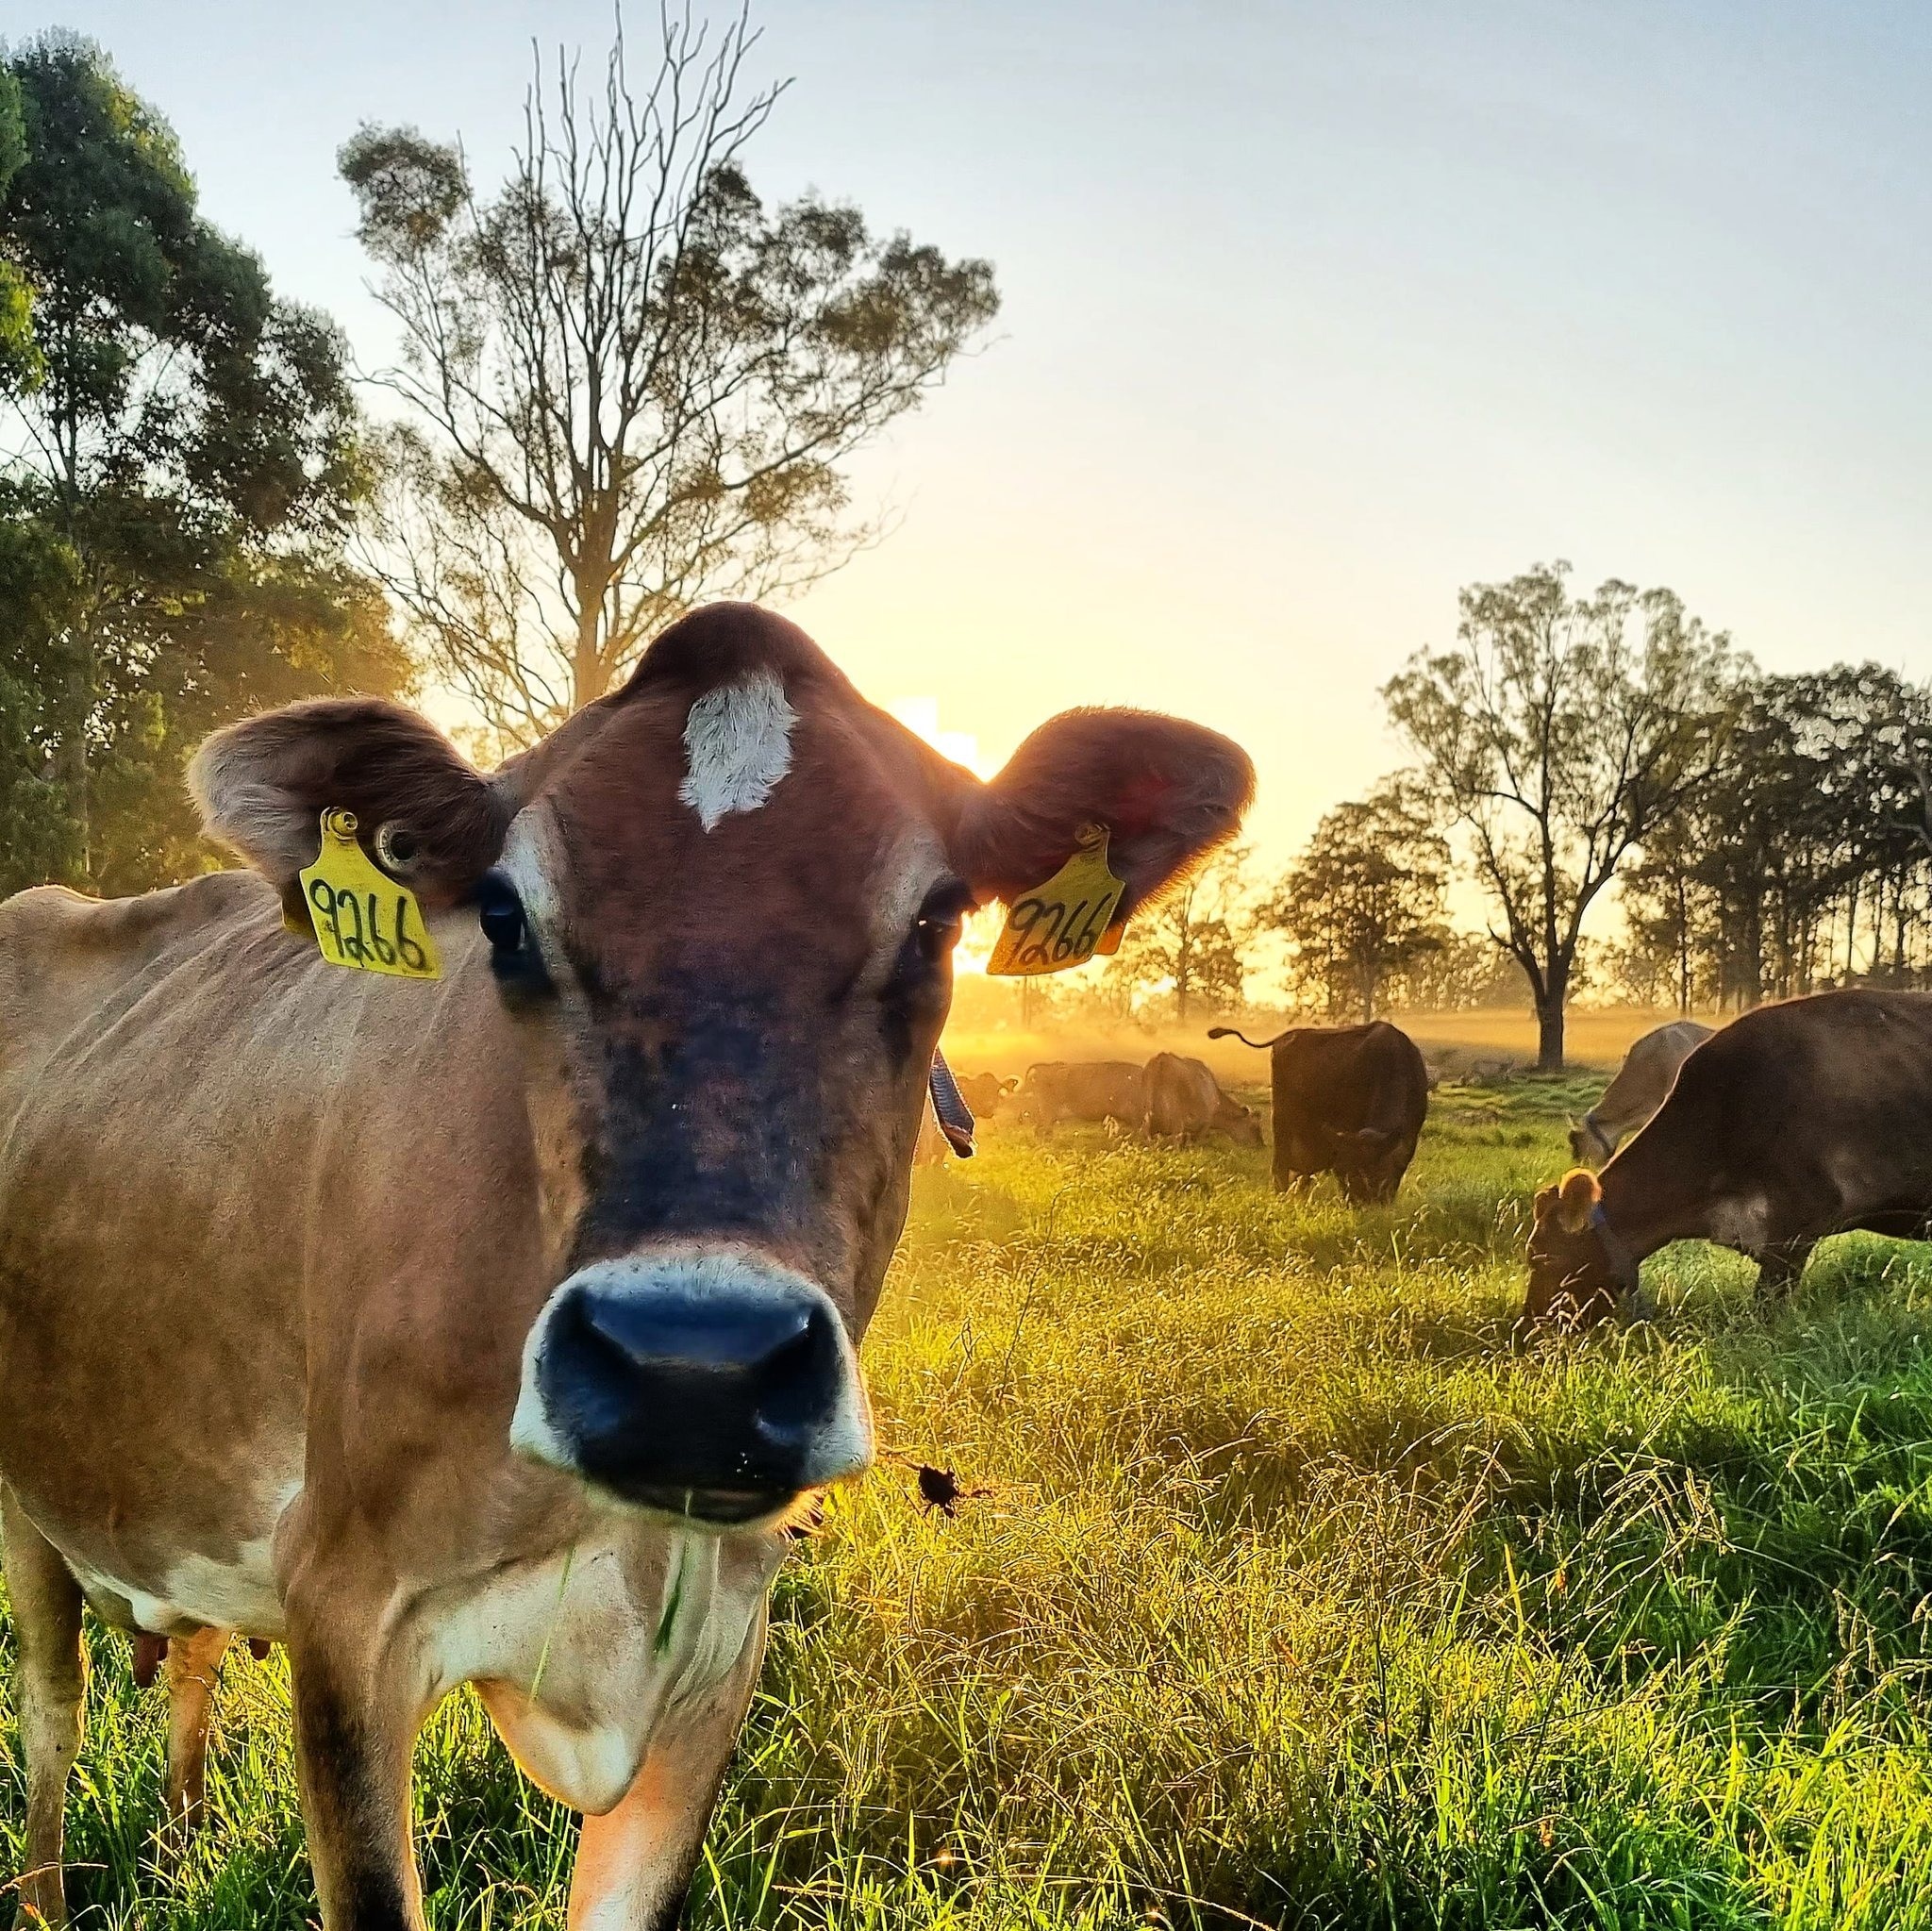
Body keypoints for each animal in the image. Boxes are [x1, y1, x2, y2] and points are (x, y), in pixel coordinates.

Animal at [1141, 1052, 1263, 1145]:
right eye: (1254, 1127)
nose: (1261, 1145)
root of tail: (1162, 1058)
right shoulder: (1203, 1127)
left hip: (1148, 1124)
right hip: (1176, 1121)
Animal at [1207, 1020, 1429, 1202]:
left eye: (1374, 1171)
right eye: (1349, 1171)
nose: (1357, 1202)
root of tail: (1284, 1038)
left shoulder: (1410, 1137)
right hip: (1281, 1119)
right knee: (1280, 1164)